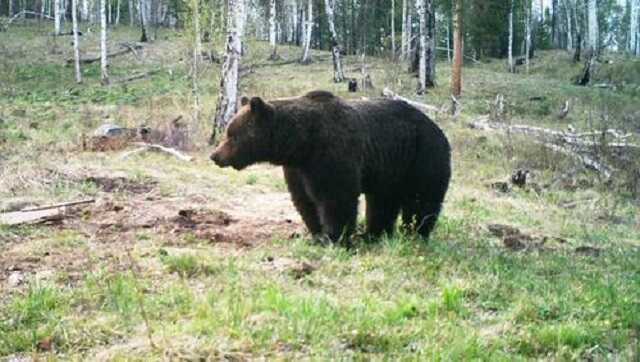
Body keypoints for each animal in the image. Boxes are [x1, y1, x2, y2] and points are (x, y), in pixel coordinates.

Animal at [210, 90, 450, 243]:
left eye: (232, 135)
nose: (215, 156)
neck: (301, 142)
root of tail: (437, 127)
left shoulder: (331, 154)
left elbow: (335, 197)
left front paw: (334, 237)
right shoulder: (297, 169)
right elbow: (304, 200)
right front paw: (316, 233)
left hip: (422, 157)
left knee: (421, 200)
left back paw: (415, 232)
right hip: (391, 168)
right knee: (383, 202)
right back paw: (374, 234)